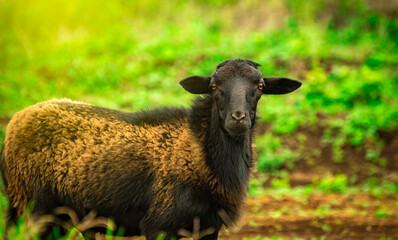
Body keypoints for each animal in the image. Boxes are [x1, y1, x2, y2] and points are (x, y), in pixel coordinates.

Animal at [0, 58, 300, 240]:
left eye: (259, 86)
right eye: (214, 87)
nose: (238, 118)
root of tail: (17, 119)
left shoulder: (208, 225)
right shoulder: (159, 222)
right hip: (29, 205)